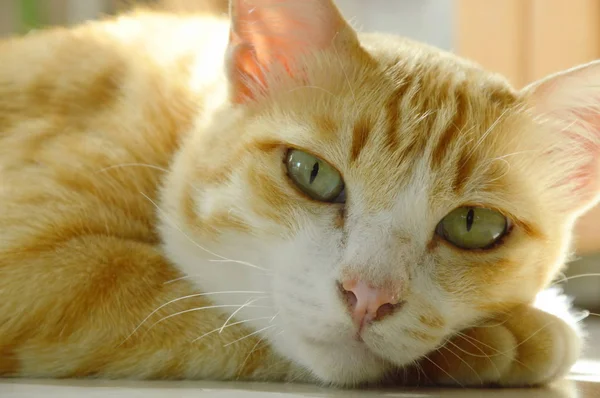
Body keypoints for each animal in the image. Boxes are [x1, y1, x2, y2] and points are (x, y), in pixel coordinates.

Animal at [0, 0, 592, 388]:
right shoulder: (42, 266)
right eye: (312, 173)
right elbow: (195, 304)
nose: (368, 297)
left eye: (474, 225)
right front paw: (520, 333)